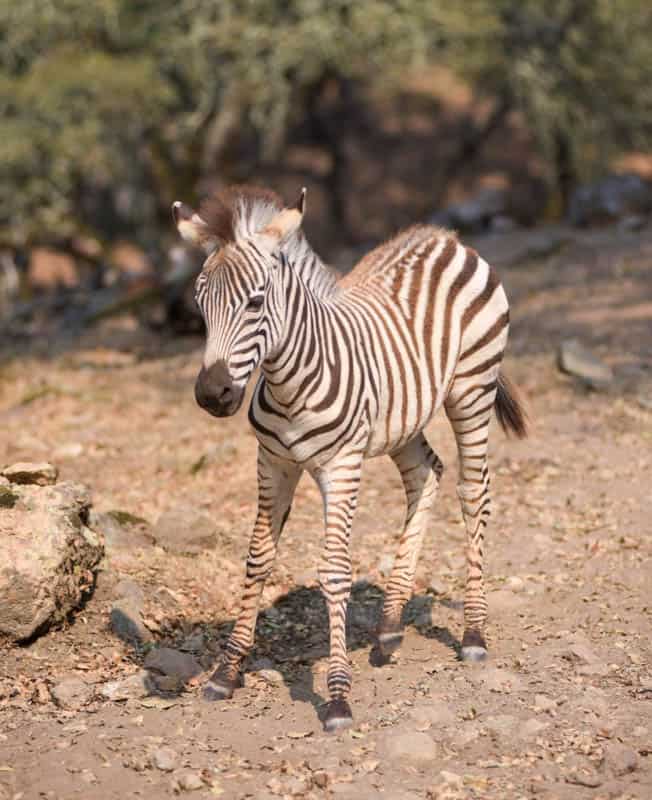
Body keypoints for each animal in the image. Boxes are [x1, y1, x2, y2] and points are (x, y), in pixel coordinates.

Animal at [172, 183, 524, 732]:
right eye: (200, 304)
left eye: (255, 302)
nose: (212, 395)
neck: (288, 381)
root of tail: (444, 236)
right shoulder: (272, 462)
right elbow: (257, 559)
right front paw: (227, 672)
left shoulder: (341, 467)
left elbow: (335, 570)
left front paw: (337, 696)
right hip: (404, 415)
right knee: (426, 475)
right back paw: (390, 628)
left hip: (472, 388)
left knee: (474, 493)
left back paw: (473, 634)